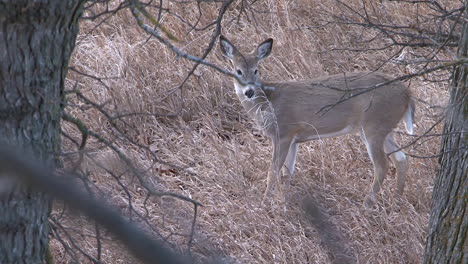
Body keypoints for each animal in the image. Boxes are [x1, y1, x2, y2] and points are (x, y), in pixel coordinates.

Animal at [218, 35, 414, 206]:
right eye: (237, 71)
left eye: (256, 70)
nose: (249, 92)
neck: (268, 103)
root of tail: (407, 93)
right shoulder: (294, 138)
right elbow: (287, 173)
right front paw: (284, 202)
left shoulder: (283, 132)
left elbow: (273, 172)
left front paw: (265, 204)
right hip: (384, 127)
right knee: (401, 157)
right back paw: (397, 200)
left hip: (374, 125)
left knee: (382, 165)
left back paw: (367, 205)